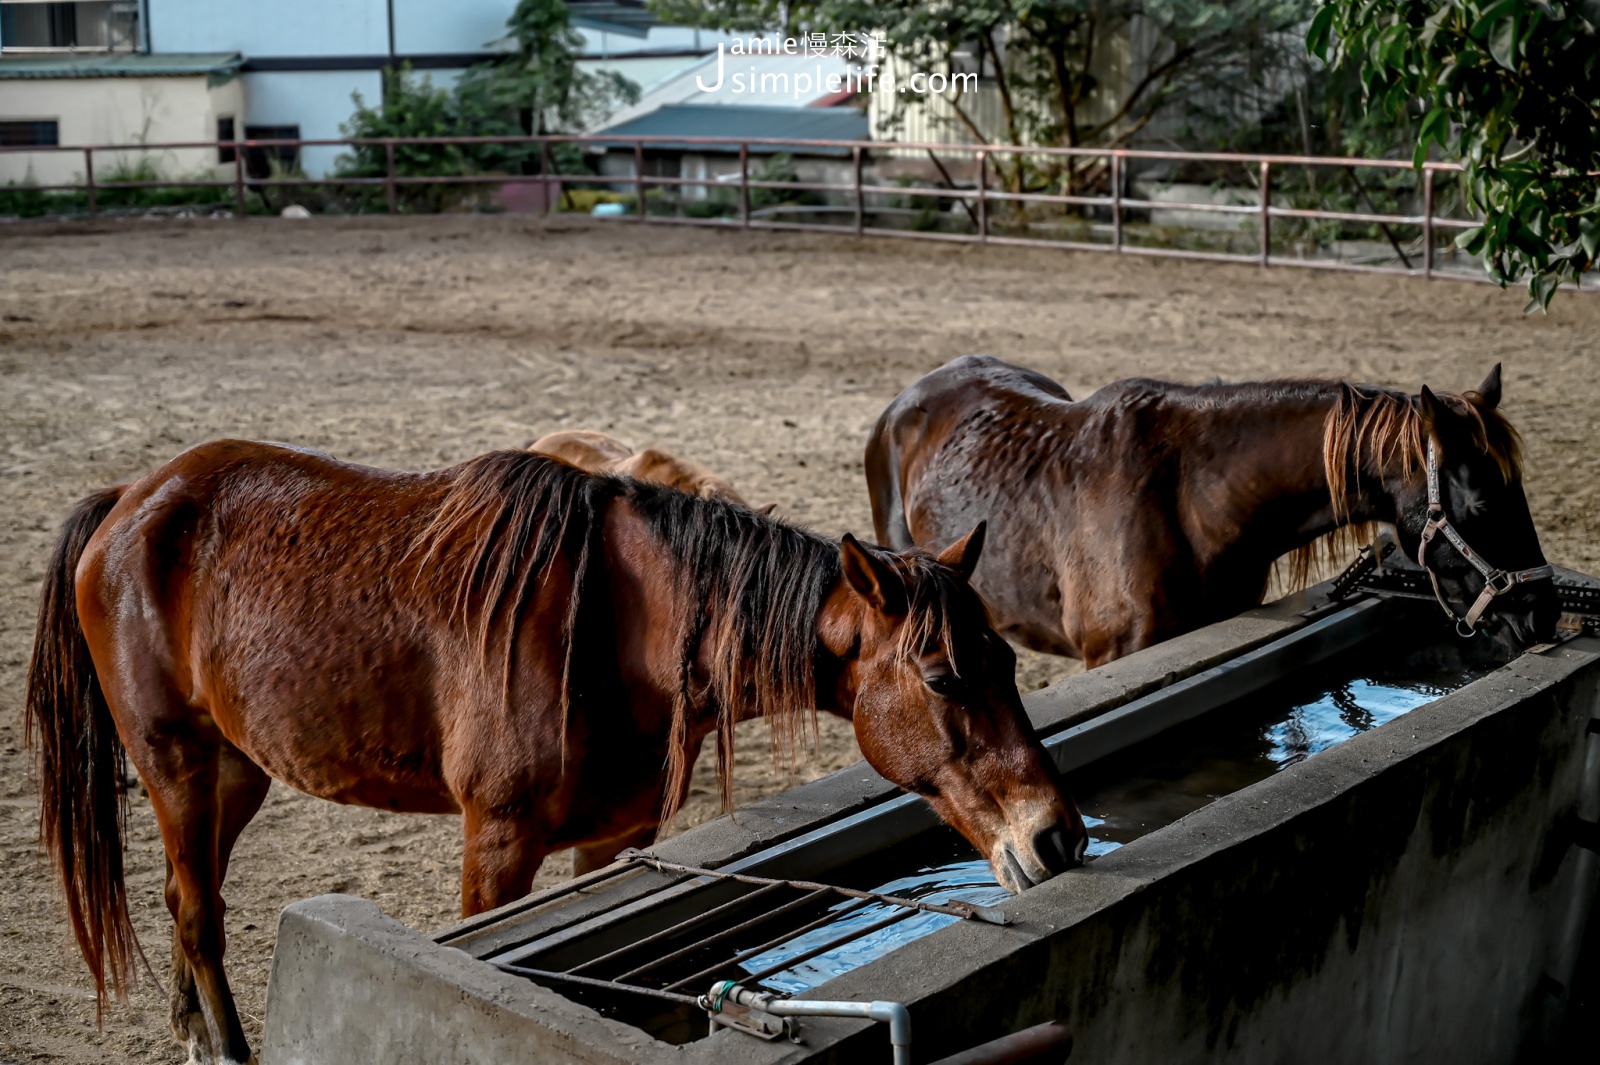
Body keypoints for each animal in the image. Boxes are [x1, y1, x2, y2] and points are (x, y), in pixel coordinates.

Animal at [28, 438, 1088, 1061]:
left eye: (1007, 659)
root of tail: (131, 500)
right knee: (199, 914)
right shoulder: (497, 841)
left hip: (234, 768)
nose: (1060, 838)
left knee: (188, 902)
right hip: (175, 764)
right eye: (945, 678)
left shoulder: (615, 838)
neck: (620, 626)